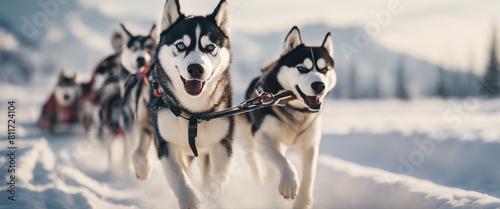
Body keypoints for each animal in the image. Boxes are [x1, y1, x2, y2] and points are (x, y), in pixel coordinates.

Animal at [129, 0, 230, 207]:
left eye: (210, 47)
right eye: (181, 45)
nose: (196, 68)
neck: (193, 113)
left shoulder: (222, 143)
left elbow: (216, 181)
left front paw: (213, 197)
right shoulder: (167, 144)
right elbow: (179, 178)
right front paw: (190, 200)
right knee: (142, 140)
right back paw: (142, 165)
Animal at [237, 26, 338, 209]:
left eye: (324, 69)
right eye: (302, 68)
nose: (319, 85)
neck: (296, 110)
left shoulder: (310, 144)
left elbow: (309, 176)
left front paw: (303, 201)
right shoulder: (263, 136)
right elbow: (284, 162)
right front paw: (289, 183)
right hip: (248, 139)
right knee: (255, 164)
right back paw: (264, 181)